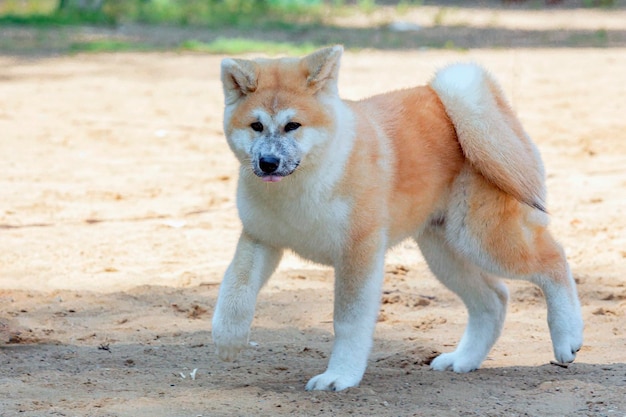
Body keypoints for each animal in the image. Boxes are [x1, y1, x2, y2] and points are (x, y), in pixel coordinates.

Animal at [212, 45, 584, 390]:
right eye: (256, 126)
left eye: (293, 126)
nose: (268, 163)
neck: (304, 184)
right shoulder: (261, 238)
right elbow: (235, 286)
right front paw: (227, 339)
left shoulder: (358, 253)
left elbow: (347, 323)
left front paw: (339, 376)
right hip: (444, 253)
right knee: (494, 299)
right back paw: (463, 360)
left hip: (482, 240)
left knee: (553, 260)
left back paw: (567, 337)